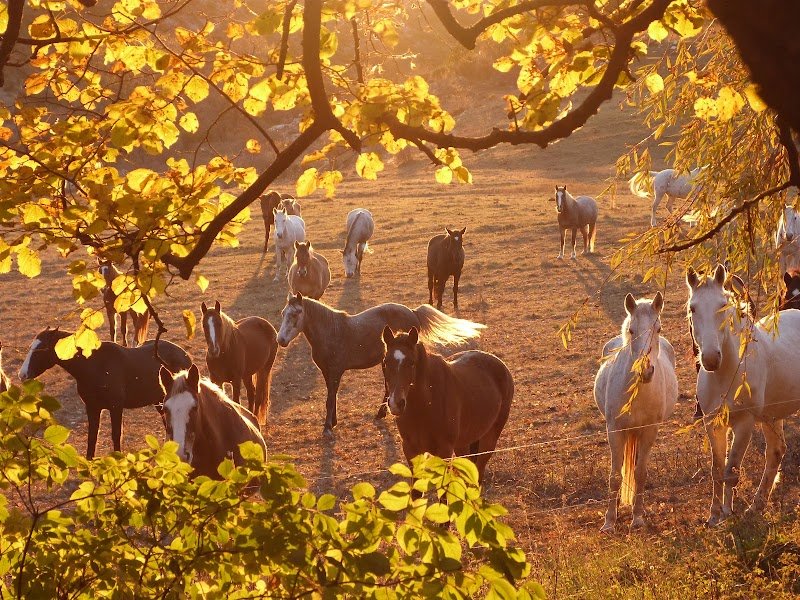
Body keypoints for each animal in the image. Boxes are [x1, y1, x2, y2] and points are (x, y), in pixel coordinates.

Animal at [19, 328, 191, 459]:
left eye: (41, 350)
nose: (22, 375)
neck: (94, 365)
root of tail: (185, 356)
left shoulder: (115, 407)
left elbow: (116, 434)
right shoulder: (92, 407)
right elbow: (92, 435)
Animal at [277, 292, 486, 435]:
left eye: (295, 314)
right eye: (283, 313)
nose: (281, 340)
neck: (331, 330)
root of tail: (413, 312)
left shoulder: (335, 371)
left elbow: (330, 399)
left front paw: (328, 427)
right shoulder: (328, 372)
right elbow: (332, 396)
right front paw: (333, 422)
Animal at [381, 327, 513, 484]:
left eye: (412, 363)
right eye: (385, 362)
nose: (396, 403)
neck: (424, 406)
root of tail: (501, 365)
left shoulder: (444, 451)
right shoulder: (410, 449)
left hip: (489, 440)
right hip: (463, 444)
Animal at [593, 292, 677, 532]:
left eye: (658, 328)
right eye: (631, 330)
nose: (646, 370)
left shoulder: (649, 430)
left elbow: (640, 473)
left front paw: (637, 517)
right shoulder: (614, 430)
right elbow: (615, 476)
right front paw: (609, 522)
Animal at [687, 264, 800, 526]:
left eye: (722, 305)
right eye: (692, 308)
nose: (710, 359)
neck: (726, 375)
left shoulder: (745, 423)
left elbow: (731, 471)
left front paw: (728, 513)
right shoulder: (713, 423)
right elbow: (718, 471)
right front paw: (714, 515)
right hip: (771, 416)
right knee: (776, 452)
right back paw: (757, 505)